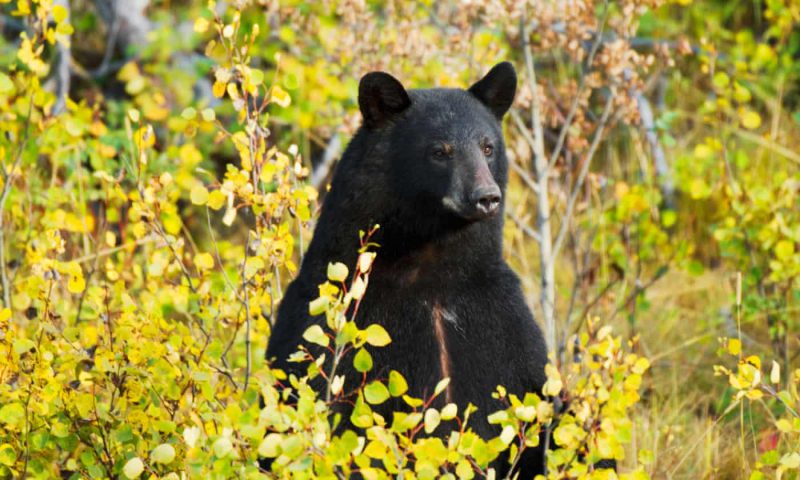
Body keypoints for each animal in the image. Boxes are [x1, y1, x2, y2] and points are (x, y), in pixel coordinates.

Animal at [268, 62, 552, 474]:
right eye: (440, 151)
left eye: (488, 147)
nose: (486, 197)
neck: (429, 265)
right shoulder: (329, 319)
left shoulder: (503, 320)